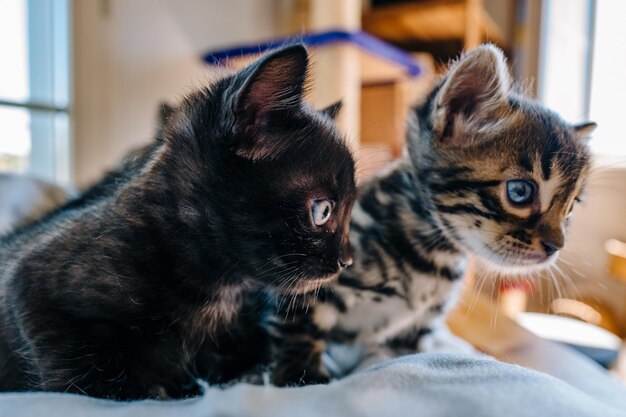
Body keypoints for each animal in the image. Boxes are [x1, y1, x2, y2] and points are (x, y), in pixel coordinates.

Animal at [270, 43, 592, 384]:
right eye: (520, 191)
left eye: (571, 207)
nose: (556, 246)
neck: (431, 254)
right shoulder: (307, 271)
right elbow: (299, 326)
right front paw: (301, 375)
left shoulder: (413, 330)